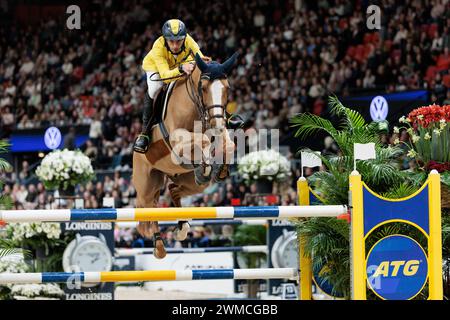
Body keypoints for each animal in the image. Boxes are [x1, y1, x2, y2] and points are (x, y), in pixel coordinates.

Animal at [133, 52, 239, 258]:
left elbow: (228, 144)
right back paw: (159, 246)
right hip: (147, 185)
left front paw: (219, 170)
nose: (218, 124)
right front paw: (205, 166)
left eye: (227, 88)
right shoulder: (178, 141)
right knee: (149, 207)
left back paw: (182, 228)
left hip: (189, 183)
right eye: (204, 88)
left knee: (174, 189)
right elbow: (203, 141)